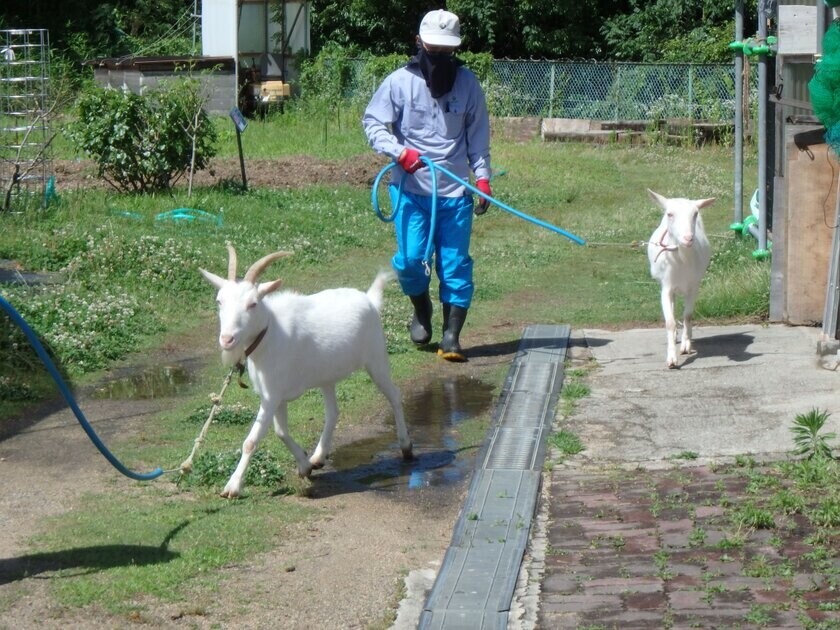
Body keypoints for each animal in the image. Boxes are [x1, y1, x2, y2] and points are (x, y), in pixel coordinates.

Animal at [202, 246, 416, 498]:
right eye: (219, 301)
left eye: (253, 304)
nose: (227, 339)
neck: (271, 335)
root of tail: (370, 299)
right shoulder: (275, 396)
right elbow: (280, 431)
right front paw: (304, 466)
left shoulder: (272, 396)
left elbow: (252, 440)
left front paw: (232, 487)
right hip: (327, 377)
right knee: (333, 412)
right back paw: (318, 457)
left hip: (376, 360)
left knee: (394, 396)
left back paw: (406, 447)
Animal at [648, 190, 712, 372]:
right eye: (670, 214)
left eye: (695, 214)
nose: (688, 238)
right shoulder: (666, 287)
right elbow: (669, 322)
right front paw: (671, 359)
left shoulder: (693, 287)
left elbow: (688, 316)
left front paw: (685, 345)